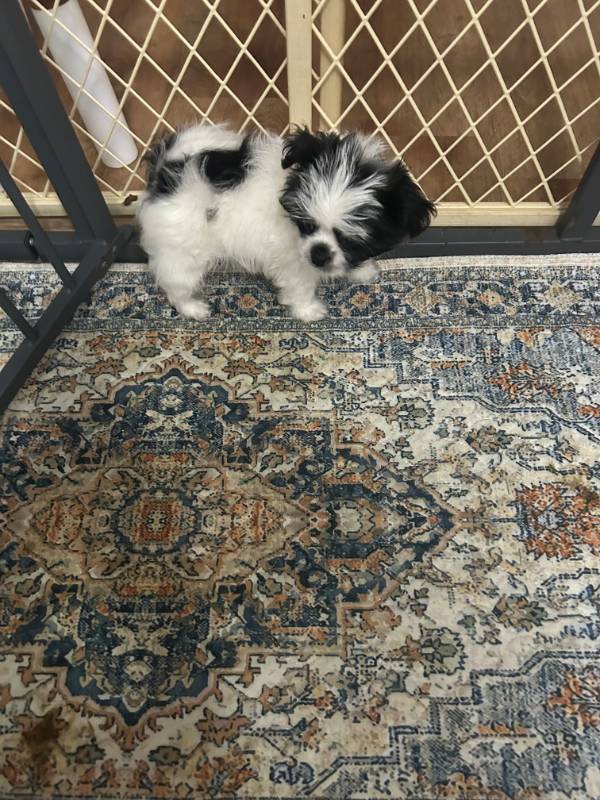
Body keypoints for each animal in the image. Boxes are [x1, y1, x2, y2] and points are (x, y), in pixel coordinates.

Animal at [137, 123, 435, 321]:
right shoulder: (294, 261)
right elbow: (301, 286)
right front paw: (308, 311)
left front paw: (361, 270)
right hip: (183, 252)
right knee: (175, 283)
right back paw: (192, 308)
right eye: (306, 225)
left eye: (349, 240)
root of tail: (166, 174)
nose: (319, 254)